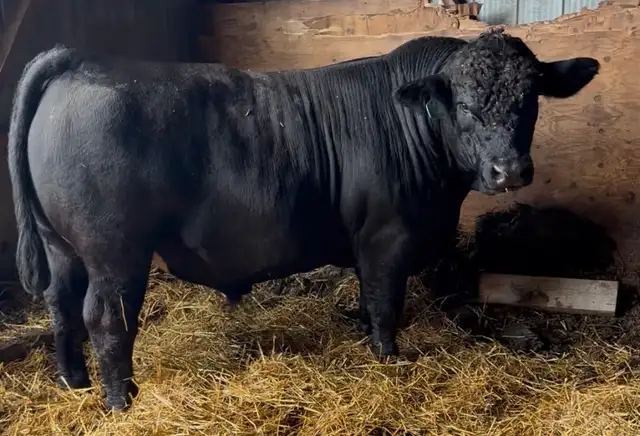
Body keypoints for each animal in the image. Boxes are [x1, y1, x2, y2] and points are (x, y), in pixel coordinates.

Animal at [8, 29, 599, 410]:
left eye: (531, 100)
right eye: (468, 107)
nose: (510, 170)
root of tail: (82, 61)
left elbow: (367, 299)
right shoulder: (387, 237)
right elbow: (385, 302)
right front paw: (387, 359)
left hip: (62, 247)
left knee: (61, 305)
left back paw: (74, 382)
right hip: (114, 252)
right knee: (105, 318)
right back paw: (119, 400)